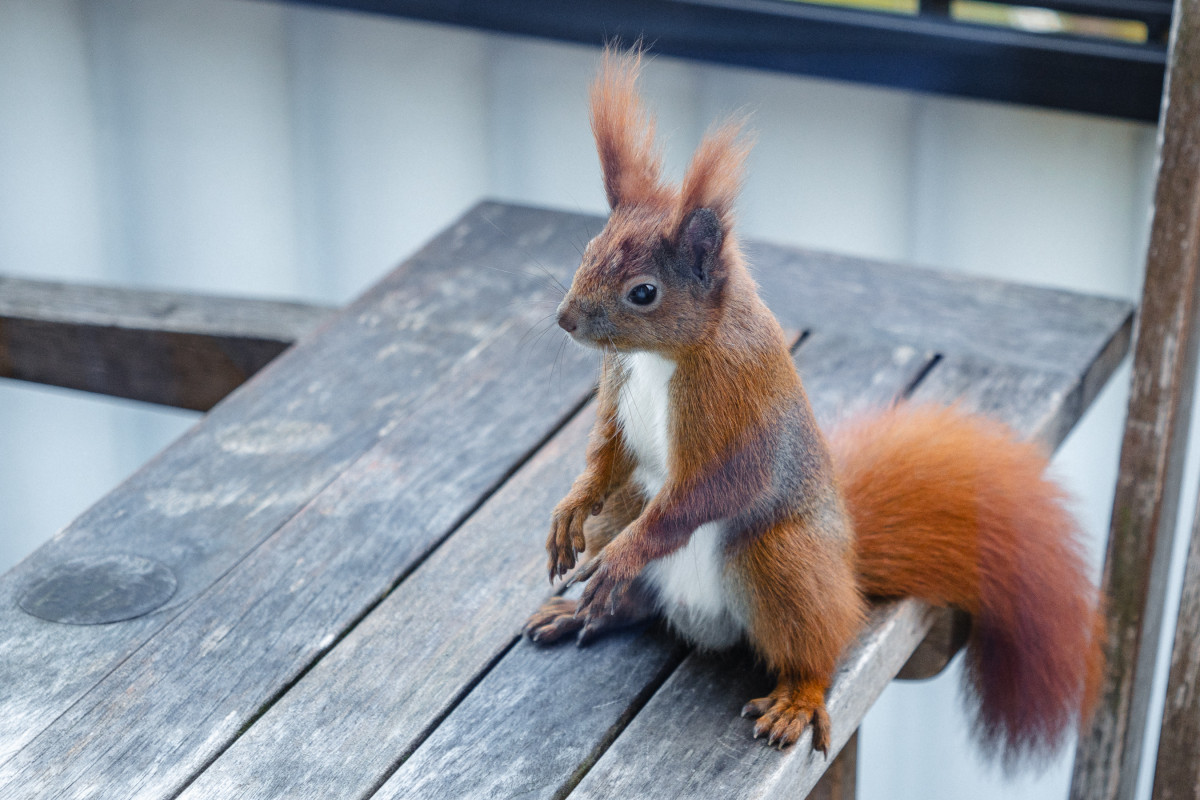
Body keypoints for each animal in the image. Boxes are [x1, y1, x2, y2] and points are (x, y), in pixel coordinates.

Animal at [525, 48, 1104, 762]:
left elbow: (711, 489)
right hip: (637, 515)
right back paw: (580, 609)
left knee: (816, 650)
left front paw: (628, 552)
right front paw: (568, 508)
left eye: (643, 292)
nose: (566, 319)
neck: (666, 357)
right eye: (588, 249)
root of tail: (848, 569)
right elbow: (607, 452)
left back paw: (795, 698)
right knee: (636, 587)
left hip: (784, 560)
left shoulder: (737, 404)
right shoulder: (619, 383)